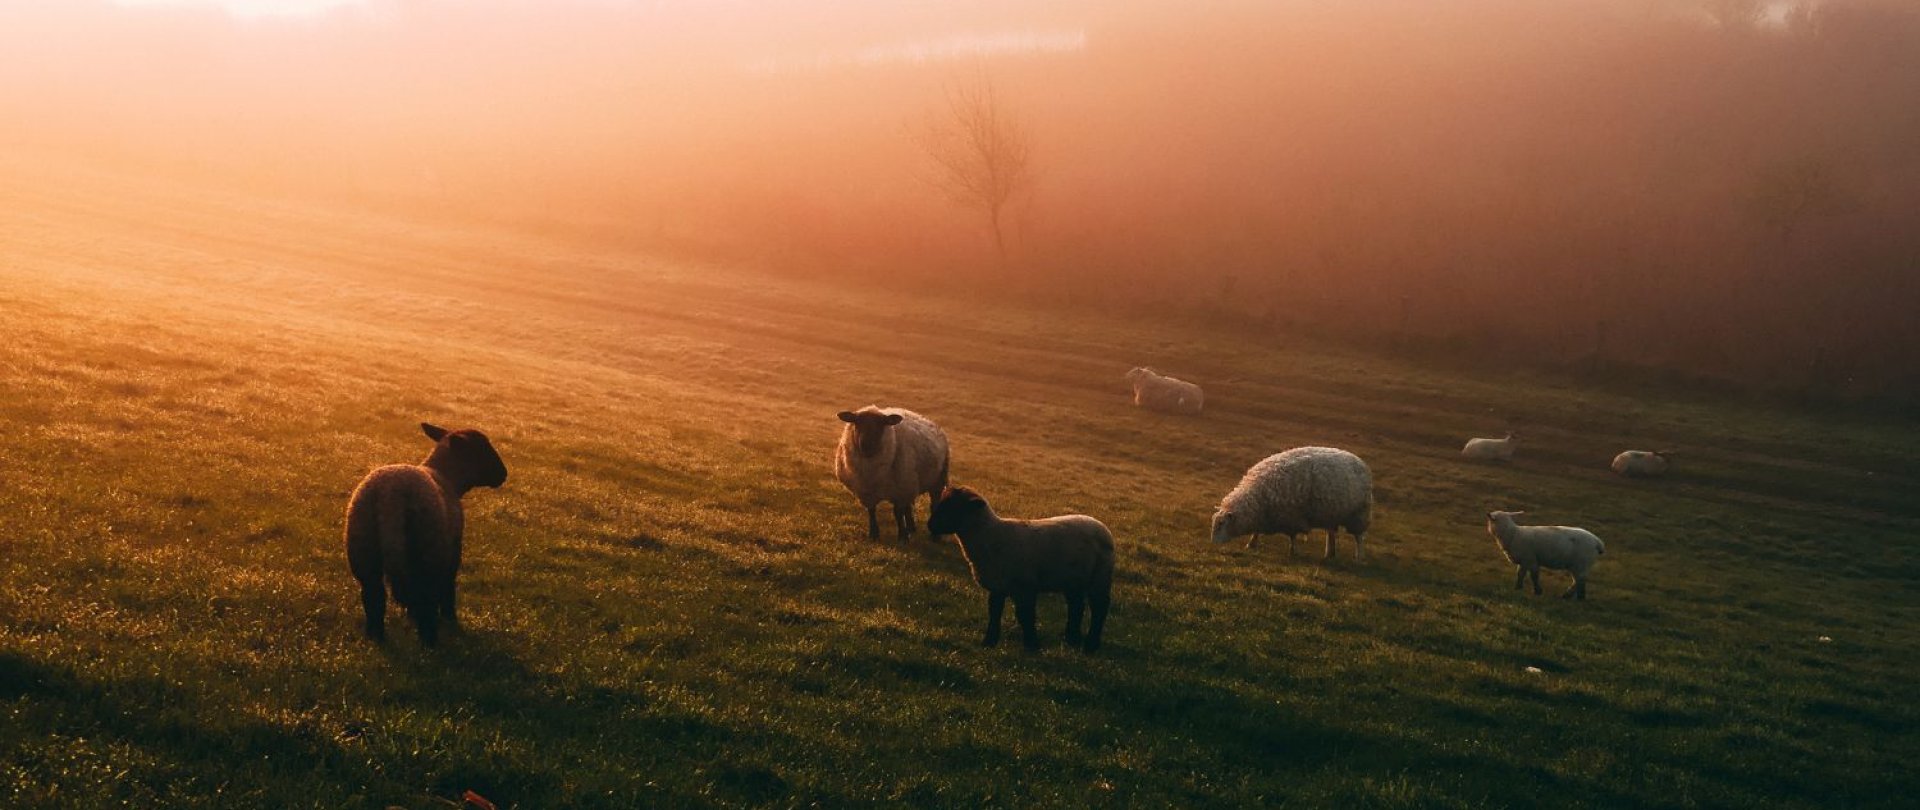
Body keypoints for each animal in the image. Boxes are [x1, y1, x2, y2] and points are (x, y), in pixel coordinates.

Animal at [345, 424, 506, 644]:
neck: (448, 477)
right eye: (482, 449)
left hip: (362, 547)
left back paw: (376, 638)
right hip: (428, 548)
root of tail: (390, 497)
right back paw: (430, 641)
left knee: (374, 596)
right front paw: (450, 618)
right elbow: (448, 585)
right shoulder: (453, 548)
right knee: (425, 597)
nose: (503, 474)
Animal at [829, 405, 948, 545]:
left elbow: (897, 512)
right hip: (910, 481)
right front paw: (874, 534)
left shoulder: (900, 491)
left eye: (881, 424)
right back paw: (911, 527)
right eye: (856, 423)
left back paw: (934, 536)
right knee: (908, 506)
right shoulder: (867, 492)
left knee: (934, 504)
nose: (866, 445)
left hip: (936, 480)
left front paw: (902, 537)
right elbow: (872, 511)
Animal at [925, 487, 1121, 652]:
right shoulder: (998, 586)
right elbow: (994, 613)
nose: (930, 525)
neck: (990, 536)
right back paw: (1072, 639)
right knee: (1076, 606)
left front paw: (1032, 646)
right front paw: (989, 642)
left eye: (954, 507)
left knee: (1099, 607)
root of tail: (1101, 526)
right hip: (1073, 579)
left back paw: (1090, 645)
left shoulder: (1024, 586)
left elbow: (1025, 616)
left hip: (1100, 575)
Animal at [1205, 445, 1374, 560]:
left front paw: (1293, 552)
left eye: (1221, 524)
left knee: (1359, 537)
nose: (1213, 544)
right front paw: (1251, 544)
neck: (1258, 496)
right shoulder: (1265, 515)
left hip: (1359, 513)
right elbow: (1257, 531)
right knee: (1331, 533)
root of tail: (1359, 461)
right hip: (1331, 514)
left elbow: (1292, 536)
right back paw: (1329, 554)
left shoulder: (1291, 517)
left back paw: (1359, 557)